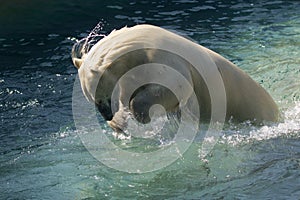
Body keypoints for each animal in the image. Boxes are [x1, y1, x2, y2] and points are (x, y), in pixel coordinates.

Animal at [71, 24, 278, 132]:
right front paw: (119, 123)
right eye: (91, 99)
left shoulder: (165, 60)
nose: (106, 115)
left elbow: (173, 88)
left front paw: (137, 115)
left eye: (99, 97)